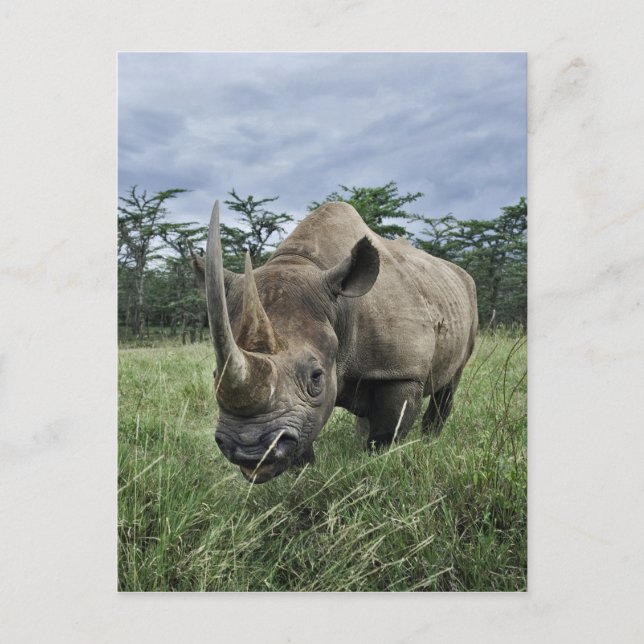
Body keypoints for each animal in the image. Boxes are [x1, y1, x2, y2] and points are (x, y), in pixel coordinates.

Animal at [191, 200, 478, 483]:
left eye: (316, 376)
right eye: (215, 375)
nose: (249, 451)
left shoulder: (402, 372)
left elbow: (386, 434)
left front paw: (377, 465)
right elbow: (307, 433)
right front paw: (303, 475)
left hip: (466, 296)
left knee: (450, 382)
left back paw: (429, 442)